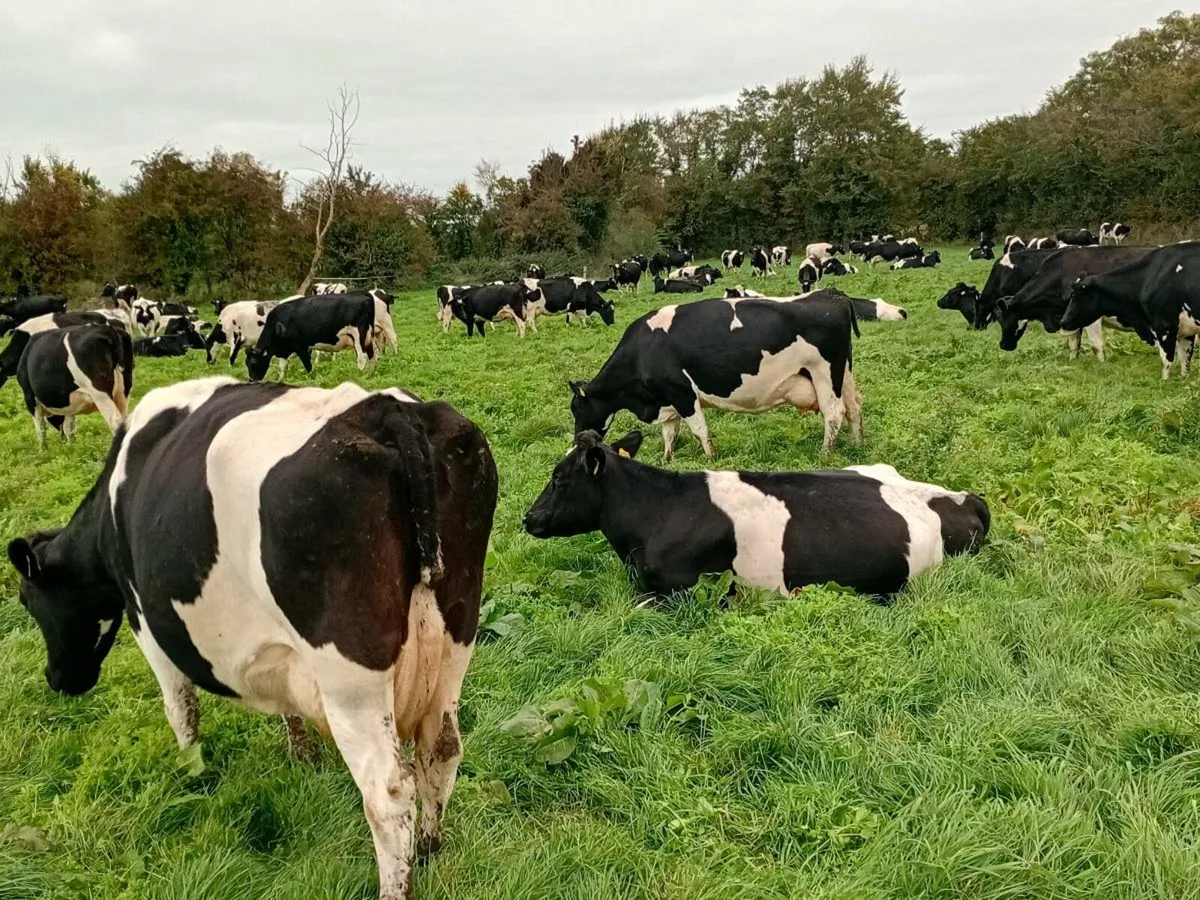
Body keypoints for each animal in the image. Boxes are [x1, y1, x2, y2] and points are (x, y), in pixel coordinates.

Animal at [5, 376, 497, 900]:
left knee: (387, 792)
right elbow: (288, 709)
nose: (57, 678)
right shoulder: (277, 648)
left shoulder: (145, 622)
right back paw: (429, 847)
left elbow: (181, 708)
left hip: (349, 673)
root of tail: (387, 414)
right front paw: (301, 756)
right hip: (456, 637)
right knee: (442, 748)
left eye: (28, 600)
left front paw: (194, 775)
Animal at [245, 293, 377, 381]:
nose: (251, 381)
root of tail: (364, 297)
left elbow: (308, 365)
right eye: (247, 364)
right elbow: (282, 367)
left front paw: (311, 378)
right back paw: (371, 374)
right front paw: (280, 381)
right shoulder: (285, 350)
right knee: (372, 356)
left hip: (359, 336)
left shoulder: (302, 347)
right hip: (368, 339)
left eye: (254, 364)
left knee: (362, 357)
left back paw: (359, 375)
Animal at [567, 292, 861, 457]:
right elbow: (669, 433)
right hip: (843, 371)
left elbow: (699, 429)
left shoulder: (682, 393)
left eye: (576, 409)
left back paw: (825, 454)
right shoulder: (666, 400)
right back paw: (855, 443)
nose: (575, 440)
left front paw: (710, 457)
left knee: (834, 412)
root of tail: (833, 295)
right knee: (854, 406)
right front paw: (666, 458)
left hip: (825, 372)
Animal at [994, 245, 1154, 359]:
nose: (1003, 345)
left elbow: (1096, 345)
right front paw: (1072, 362)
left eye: (1003, 319)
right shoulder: (1069, 318)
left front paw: (1102, 366)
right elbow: (1073, 344)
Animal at [1061, 242, 1200, 378]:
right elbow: (1185, 359)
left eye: (1075, 295)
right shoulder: (1187, 330)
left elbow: (1167, 361)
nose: (1063, 321)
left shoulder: (1165, 327)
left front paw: (1165, 381)